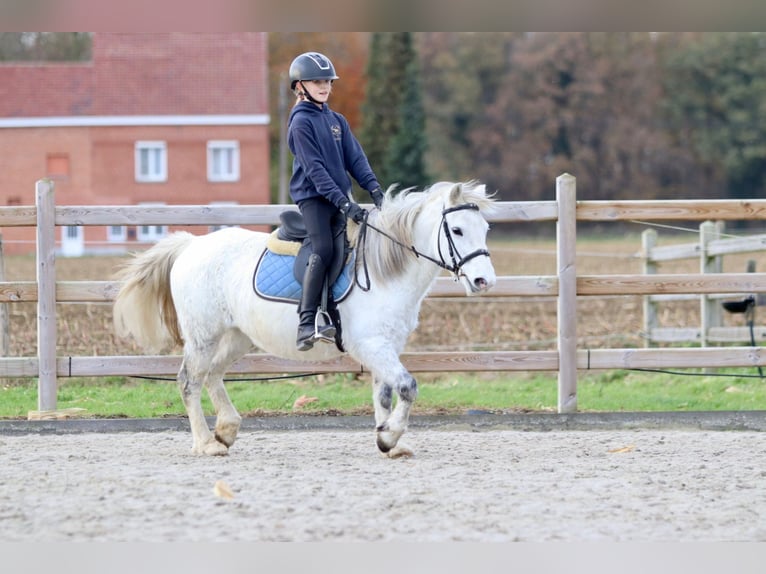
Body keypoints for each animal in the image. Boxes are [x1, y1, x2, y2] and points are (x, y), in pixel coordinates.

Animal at [114, 180, 498, 460]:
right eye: (457, 230)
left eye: (485, 228)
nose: (484, 281)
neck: (383, 270)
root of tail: (191, 246)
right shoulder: (371, 345)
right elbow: (407, 387)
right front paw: (389, 437)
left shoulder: (385, 346)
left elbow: (385, 394)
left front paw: (389, 441)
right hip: (203, 336)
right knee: (189, 382)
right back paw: (206, 444)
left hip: (238, 336)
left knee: (212, 375)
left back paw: (226, 430)